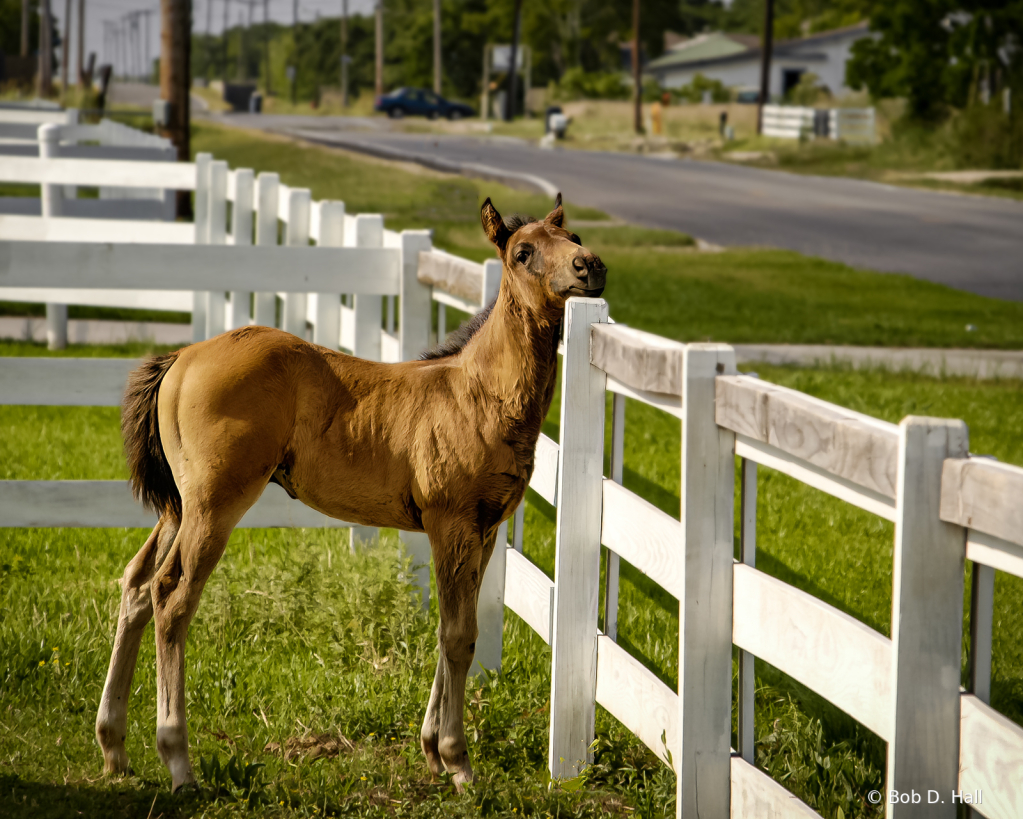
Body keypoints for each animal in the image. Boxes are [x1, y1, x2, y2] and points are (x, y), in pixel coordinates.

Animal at [94, 195, 605, 789]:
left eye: (571, 238)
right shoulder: (452, 525)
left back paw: (114, 746)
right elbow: (458, 635)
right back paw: (178, 760)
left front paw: (431, 749)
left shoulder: (482, 531)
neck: (478, 394)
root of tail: (182, 356)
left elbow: (452, 631)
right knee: (172, 597)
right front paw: (457, 761)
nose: (590, 267)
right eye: (524, 252)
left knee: (137, 584)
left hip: (179, 506)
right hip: (214, 505)